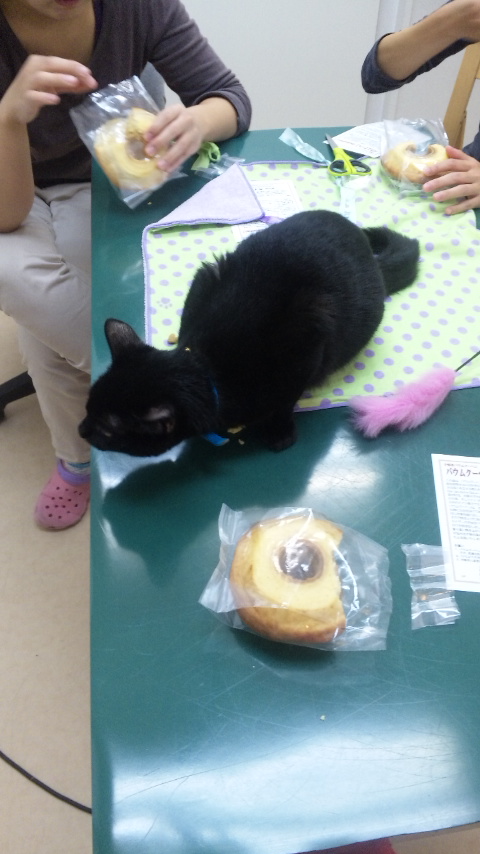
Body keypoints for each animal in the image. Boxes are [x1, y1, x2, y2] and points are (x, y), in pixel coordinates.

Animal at [79, 209, 419, 456]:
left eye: (106, 430)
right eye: (87, 408)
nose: (82, 430)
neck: (208, 371)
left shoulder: (304, 348)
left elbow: (285, 403)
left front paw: (280, 432)